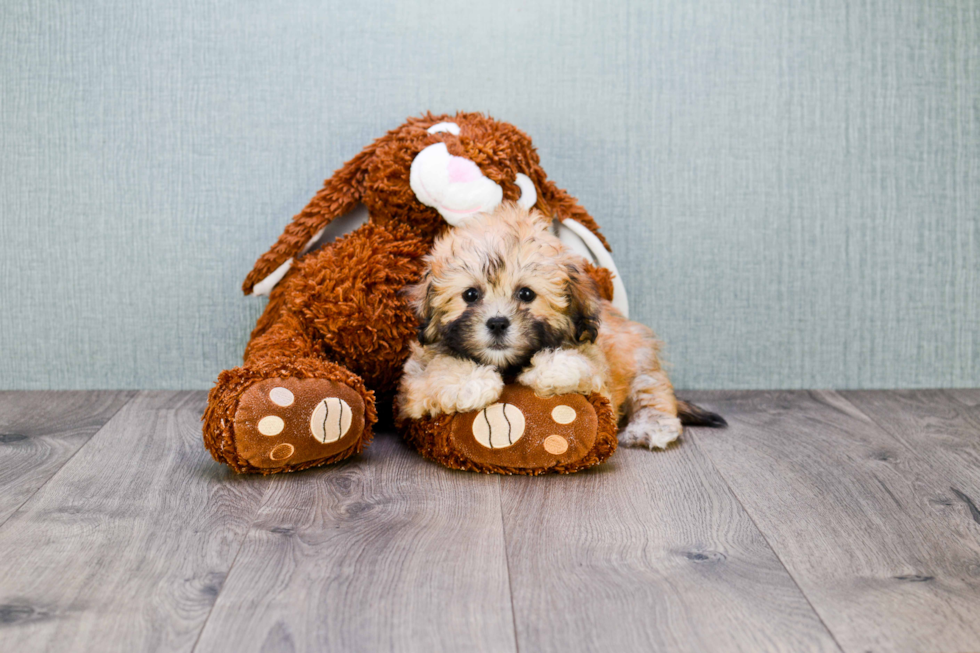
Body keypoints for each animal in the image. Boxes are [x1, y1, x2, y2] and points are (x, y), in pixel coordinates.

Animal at [394, 204, 724, 448]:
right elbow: (438, 371)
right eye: (471, 295)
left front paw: (546, 369)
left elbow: (579, 363)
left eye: (526, 294)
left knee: (653, 394)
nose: (498, 323)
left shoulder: (599, 371)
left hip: (639, 359)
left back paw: (650, 427)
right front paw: (474, 382)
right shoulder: (411, 385)